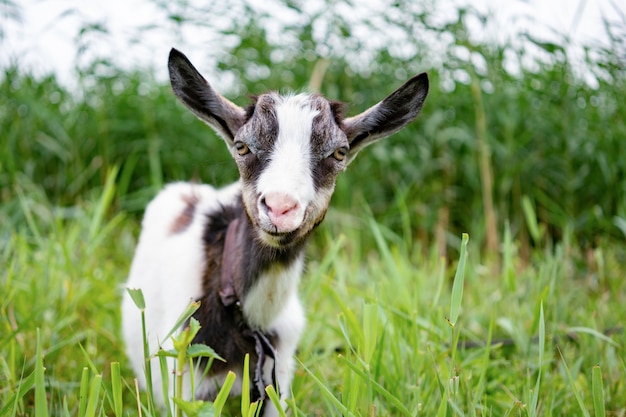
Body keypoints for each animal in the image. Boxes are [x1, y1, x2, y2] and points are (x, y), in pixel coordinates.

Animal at [119, 48, 426, 412]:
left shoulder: (276, 379)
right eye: (242, 147)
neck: (251, 319)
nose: (280, 208)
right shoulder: (186, 382)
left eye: (339, 153)